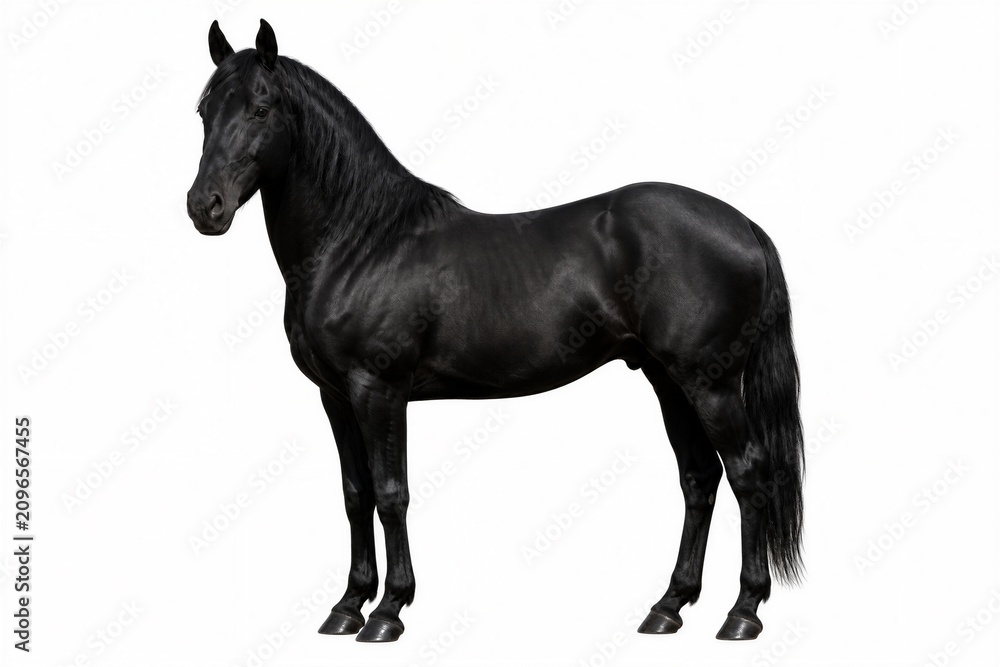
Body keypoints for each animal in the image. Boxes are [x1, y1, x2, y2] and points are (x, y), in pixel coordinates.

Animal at [187, 19, 804, 643]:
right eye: (204, 109)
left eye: (261, 107)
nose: (204, 207)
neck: (361, 243)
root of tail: (743, 224)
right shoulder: (335, 396)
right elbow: (355, 495)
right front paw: (346, 606)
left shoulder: (378, 391)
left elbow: (391, 494)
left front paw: (388, 612)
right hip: (669, 381)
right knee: (700, 478)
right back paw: (667, 607)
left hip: (711, 384)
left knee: (750, 474)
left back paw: (742, 613)